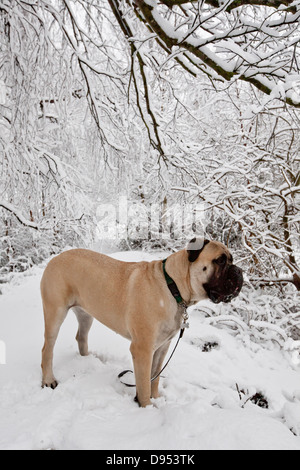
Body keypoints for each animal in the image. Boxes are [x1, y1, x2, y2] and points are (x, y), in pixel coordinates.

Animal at [39, 239, 243, 408]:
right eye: (220, 261)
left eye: (231, 260)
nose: (239, 271)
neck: (173, 287)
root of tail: (55, 258)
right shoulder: (142, 349)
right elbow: (144, 382)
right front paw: (147, 408)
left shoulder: (161, 347)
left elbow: (154, 378)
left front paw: (156, 398)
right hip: (55, 312)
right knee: (47, 349)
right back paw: (49, 380)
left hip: (86, 314)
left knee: (81, 337)